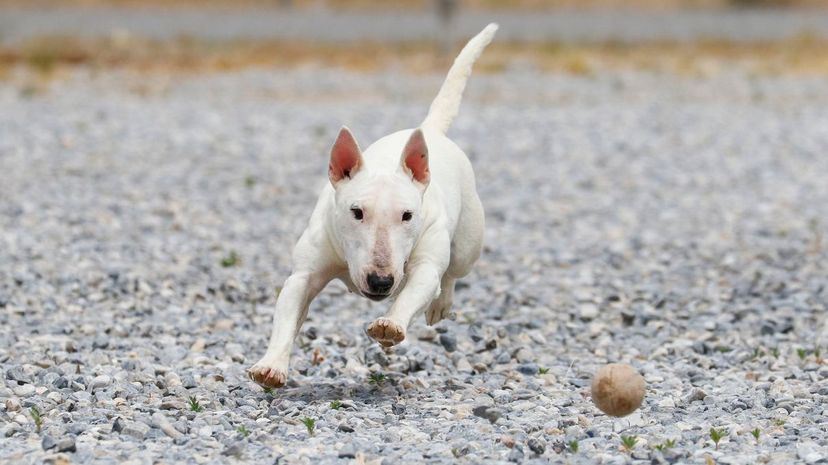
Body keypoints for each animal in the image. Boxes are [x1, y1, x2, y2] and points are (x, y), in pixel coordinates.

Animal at [247, 22, 498, 388]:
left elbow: (418, 285)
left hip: (467, 242)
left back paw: (441, 303)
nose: (381, 282)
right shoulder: (305, 273)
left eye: (407, 215)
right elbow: (287, 312)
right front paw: (271, 366)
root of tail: (431, 132)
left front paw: (390, 325)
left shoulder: (424, 262)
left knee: (452, 271)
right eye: (356, 212)